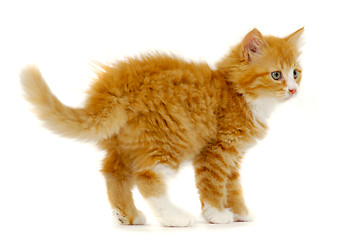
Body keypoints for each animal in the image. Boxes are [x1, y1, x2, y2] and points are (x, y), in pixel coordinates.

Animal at [21, 28, 304, 227]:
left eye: (296, 73)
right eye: (276, 74)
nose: (293, 89)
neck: (237, 92)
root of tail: (114, 84)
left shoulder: (233, 156)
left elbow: (233, 186)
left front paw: (239, 212)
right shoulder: (216, 151)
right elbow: (213, 184)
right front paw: (216, 215)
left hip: (127, 142)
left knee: (113, 172)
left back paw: (128, 215)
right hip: (169, 137)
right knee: (146, 176)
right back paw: (173, 218)